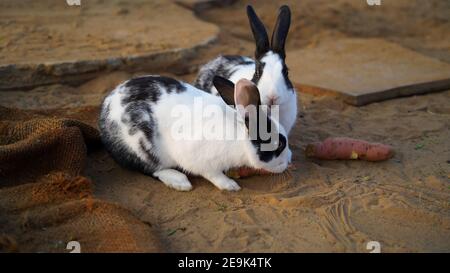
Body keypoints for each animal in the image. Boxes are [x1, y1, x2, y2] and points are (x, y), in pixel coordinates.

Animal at [99, 73, 290, 190]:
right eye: (280, 143)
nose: (289, 160)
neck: (239, 135)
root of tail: (104, 112)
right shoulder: (201, 160)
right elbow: (212, 174)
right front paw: (230, 185)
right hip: (142, 149)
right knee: (151, 169)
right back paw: (180, 182)